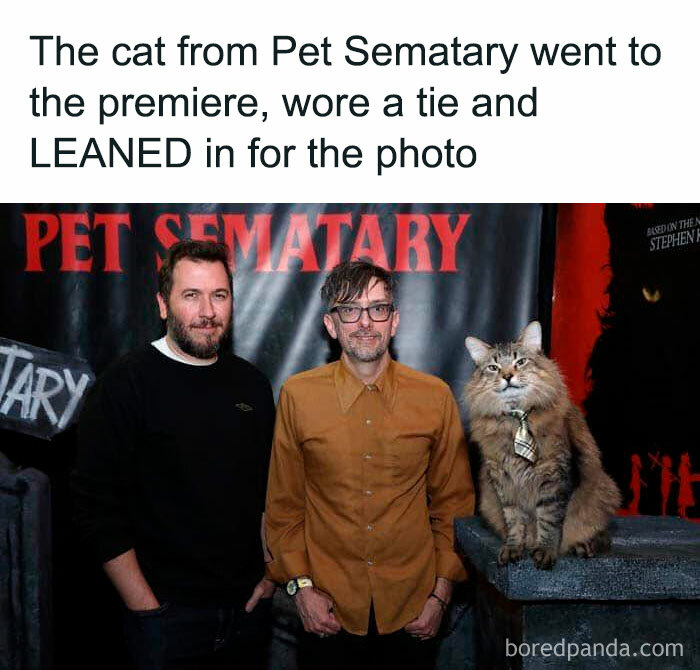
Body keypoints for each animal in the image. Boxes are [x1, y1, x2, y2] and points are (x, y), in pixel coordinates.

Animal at [464, 322, 616, 568]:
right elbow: (514, 520)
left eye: (520, 362)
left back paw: (584, 546)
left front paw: (544, 551)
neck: (516, 420)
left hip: (603, 492)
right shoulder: (503, 481)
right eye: (494, 367)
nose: (507, 376)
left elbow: (549, 520)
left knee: (598, 533)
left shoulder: (553, 477)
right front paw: (514, 548)